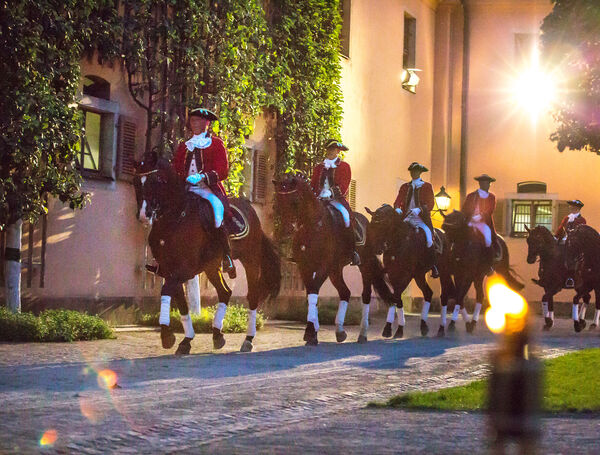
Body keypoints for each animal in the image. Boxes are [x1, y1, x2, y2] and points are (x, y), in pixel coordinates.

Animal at [135, 155, 280, 354]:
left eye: (155, 181)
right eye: (136, 182)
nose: (144, 214)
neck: (175, 219)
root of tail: (249, 209)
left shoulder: (184, 270)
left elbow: (166, 293)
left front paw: (167, 335)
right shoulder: (168, 271)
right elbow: (181, 304)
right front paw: (186, 340)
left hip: (250, 261)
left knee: (252, 296)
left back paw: (248, 339)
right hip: (212, 267)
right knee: (225, 292)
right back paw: (217, 335)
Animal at [274, 174, 396, 346]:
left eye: (295, 201)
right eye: (278, 200)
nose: (286, 230)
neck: (312, 227)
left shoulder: (324, 266)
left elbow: (313, 291)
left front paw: (310, 332)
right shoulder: (304, 266)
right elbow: (311, 295)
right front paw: (313, 332)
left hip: (364, 265)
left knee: (365, 295)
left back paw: (362, 334)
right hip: (336, 270)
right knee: (345, 292)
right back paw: (340, 331)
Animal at [366, 204, 454, 338]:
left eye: (383, 225)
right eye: (372, 225)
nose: (376, 248)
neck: (399, 243)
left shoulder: (407, 275)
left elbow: (395, 296)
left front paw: (393, 328)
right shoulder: (393, 274)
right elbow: (396, 298)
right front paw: (394, 328)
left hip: (443, 272)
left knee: (443, 296)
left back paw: (441, 328)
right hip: (419, 275)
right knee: (428, 293)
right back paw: (423, 326)